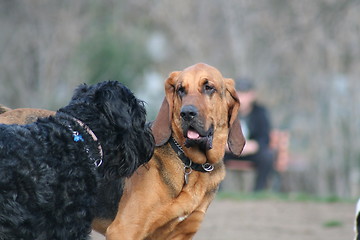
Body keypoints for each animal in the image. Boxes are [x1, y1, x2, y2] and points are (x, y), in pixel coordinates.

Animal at [105, 62, 245, 239]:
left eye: (208, 87)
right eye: (180, 89)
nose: (187, 113)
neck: (191, 163)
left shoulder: (181, 233)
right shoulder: (124, 229)